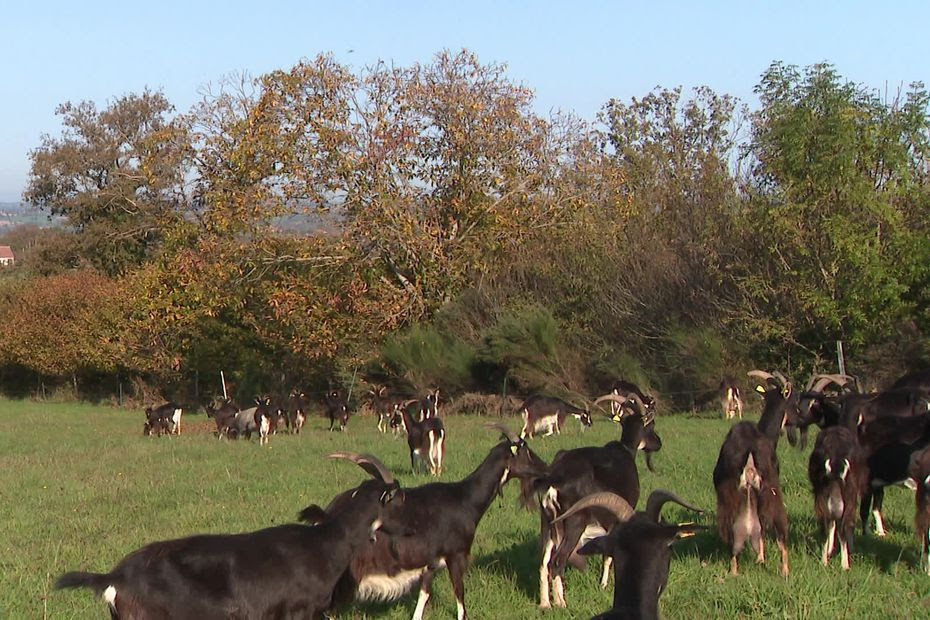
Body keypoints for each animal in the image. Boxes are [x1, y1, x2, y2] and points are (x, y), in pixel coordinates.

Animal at [520, 394, 660, 608]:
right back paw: (561, 603)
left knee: (544, 563)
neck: (625, 451)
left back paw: (545, 604)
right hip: (574, 522)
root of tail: (554, 479)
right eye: (651, 425)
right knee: (557, 561)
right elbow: (609, 554)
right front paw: (604, 585)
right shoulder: (619, 515)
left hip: (547, 522)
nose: (658, 443)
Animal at [712, 368, 792, 576]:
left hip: (732, 495)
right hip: (771, 490)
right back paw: (784, 571)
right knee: (778, 530)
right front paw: (761, 558)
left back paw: (734, 570)